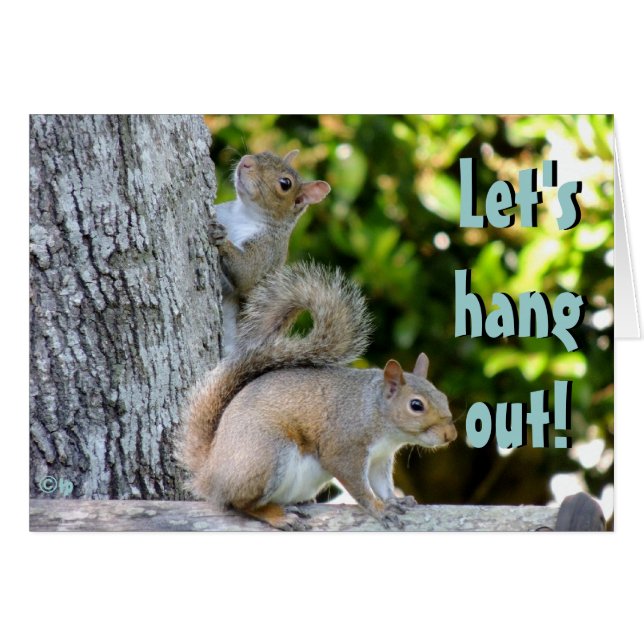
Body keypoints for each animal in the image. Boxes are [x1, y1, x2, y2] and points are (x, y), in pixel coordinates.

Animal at [177, 263, 457, 530]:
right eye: (416, 405)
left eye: (443, 397)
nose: (451, 436)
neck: (376, 413)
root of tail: (210, 474)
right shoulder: (345, 447)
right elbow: (358, 486)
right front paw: (379, 509)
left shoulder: (380, 458)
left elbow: (382, 484)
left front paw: (394, 500)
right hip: (267, 454)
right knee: (241, 503)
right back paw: (278, 517)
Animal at [213, 150, 331, 354]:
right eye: (265, 153)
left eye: (285, 184)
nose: (246, 161)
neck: (243, 213)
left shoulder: (268, 249)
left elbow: (246, 272)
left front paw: (222, 241)